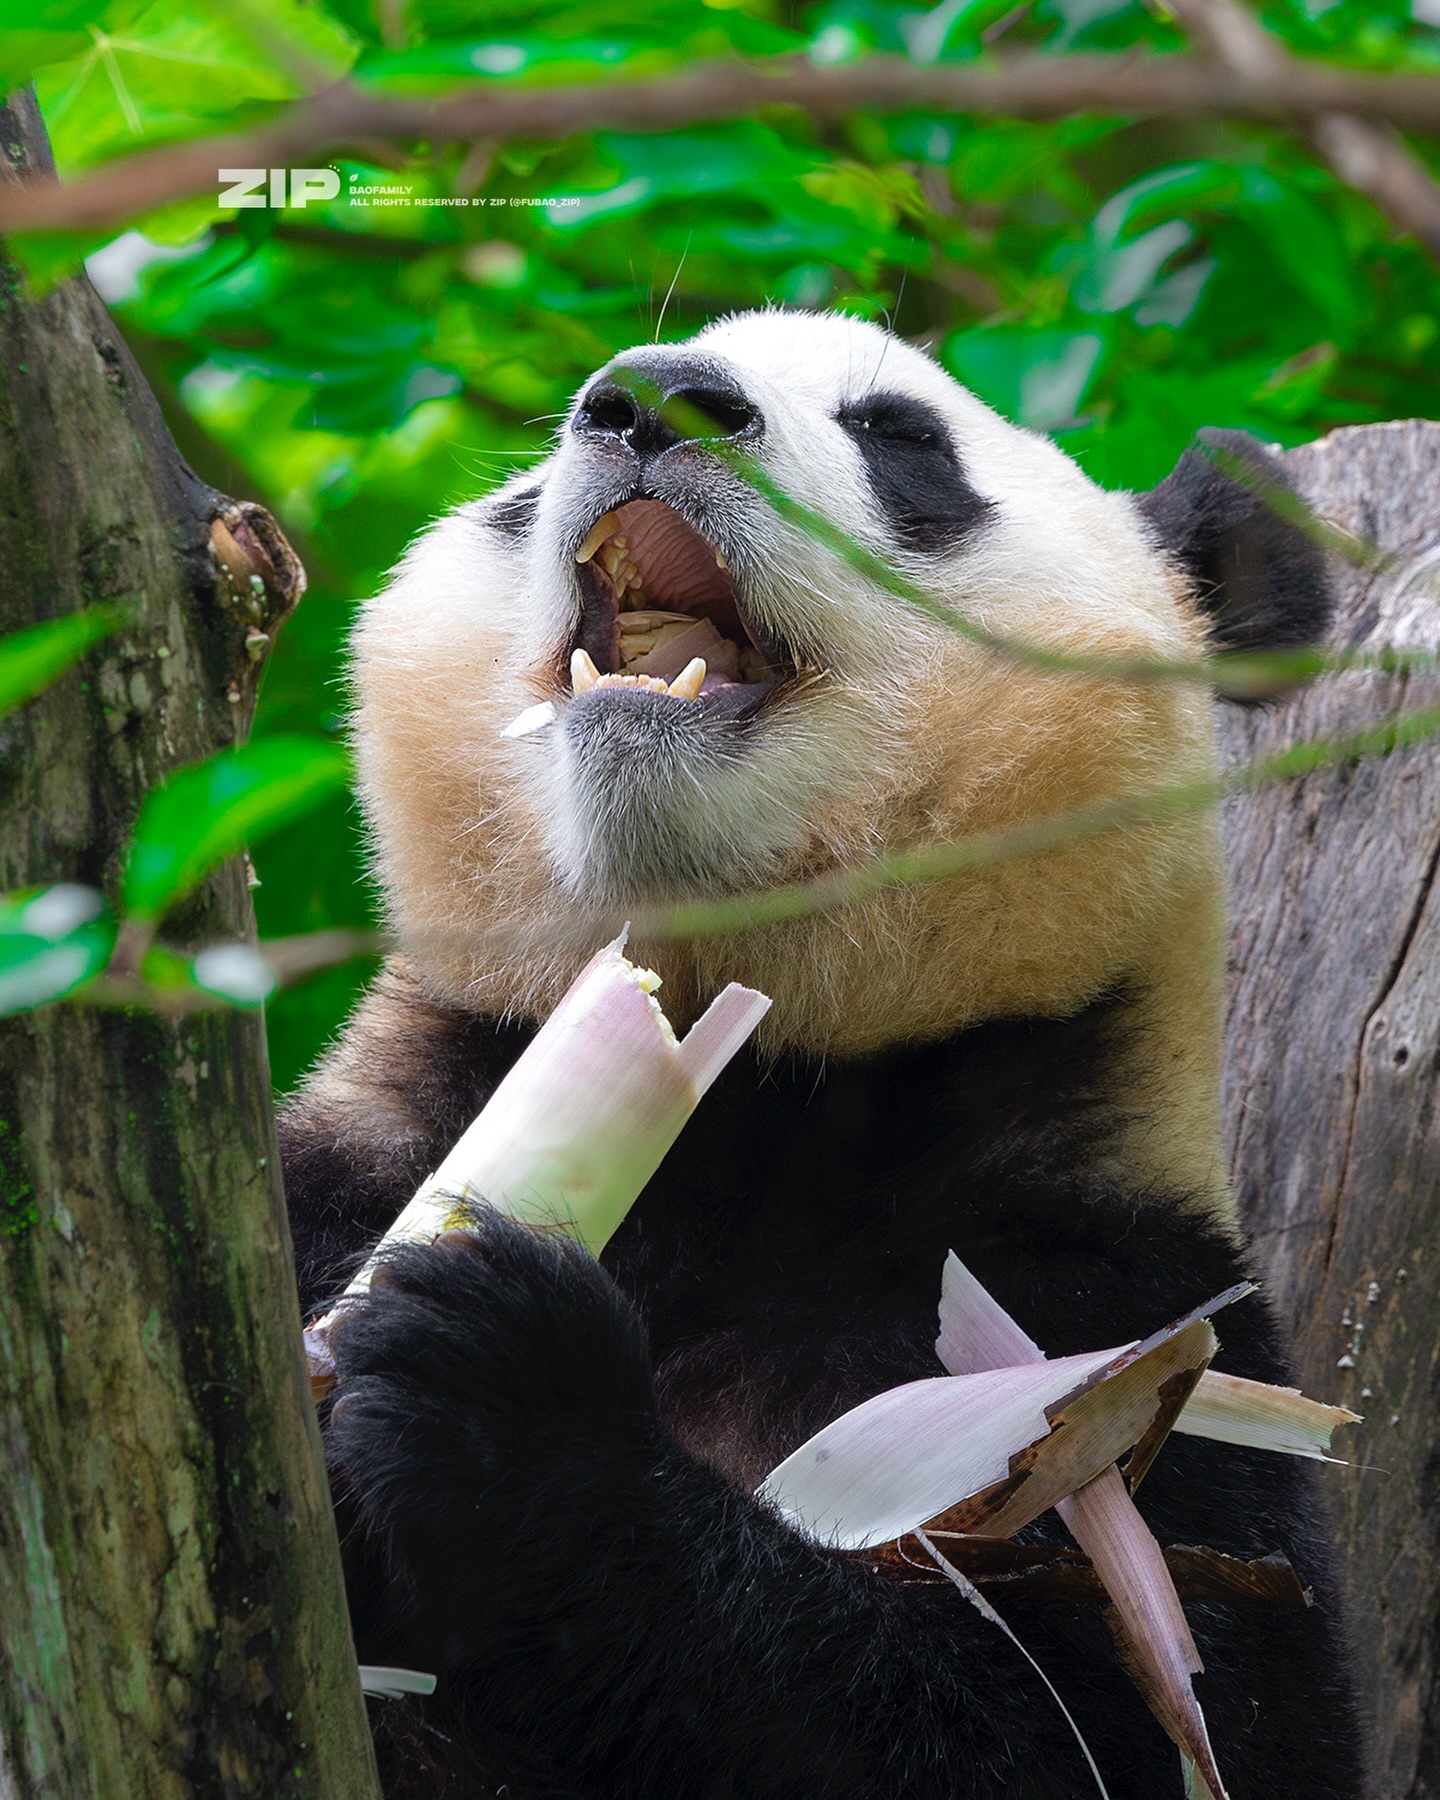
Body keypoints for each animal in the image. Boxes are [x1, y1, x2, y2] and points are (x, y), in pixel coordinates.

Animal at [275, 309, 1368, 1800]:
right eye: (527, 482)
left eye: (904, 441)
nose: (652, 403)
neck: (755, 1075)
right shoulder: (355, 1160)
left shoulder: (1124, 1330)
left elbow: (1166, 1721)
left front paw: (502, 1388)